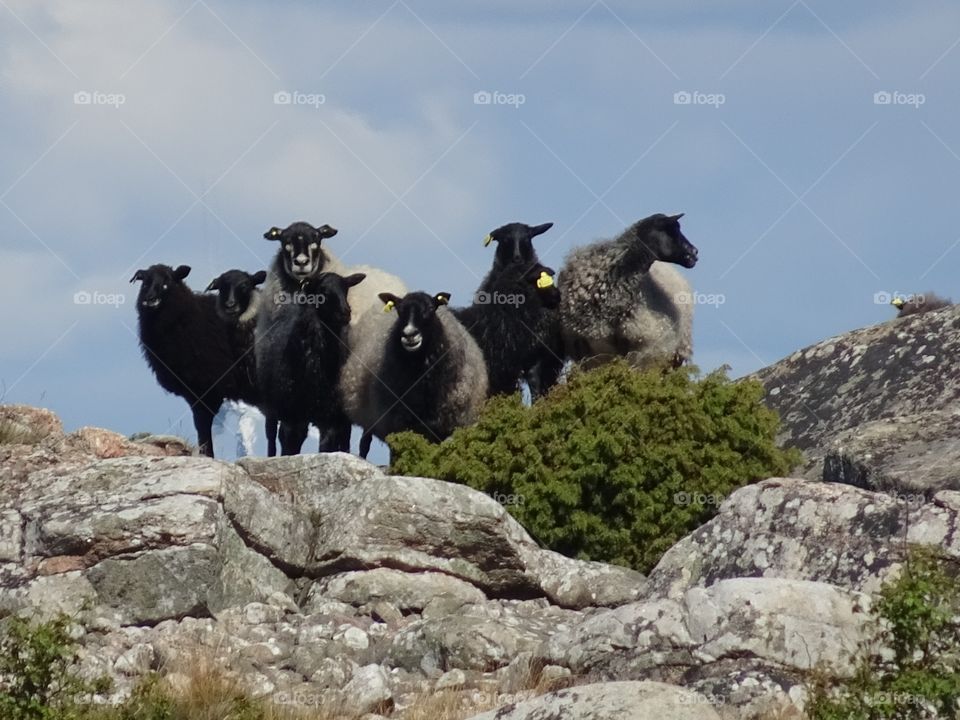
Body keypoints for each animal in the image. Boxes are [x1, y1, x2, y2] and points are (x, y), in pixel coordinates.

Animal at [129, 262, 246, 456]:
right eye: (144, 282)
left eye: (167, 282)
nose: (150, 299)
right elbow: (201, 425)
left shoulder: (206, 386)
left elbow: (203, 424)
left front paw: (207, 455)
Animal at [256, 270, 366, 456]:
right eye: (322, 290)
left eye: (346, 288)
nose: (345, 312)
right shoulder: (293, 416)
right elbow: (290, 446)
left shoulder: (330, 417)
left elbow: (326, 447)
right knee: (272, 437)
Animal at [338, 290, 488, 458]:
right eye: (399, 310)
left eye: (430, 308)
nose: (409, 334)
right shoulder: (398, 423)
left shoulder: (441, 426)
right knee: (365, 443)